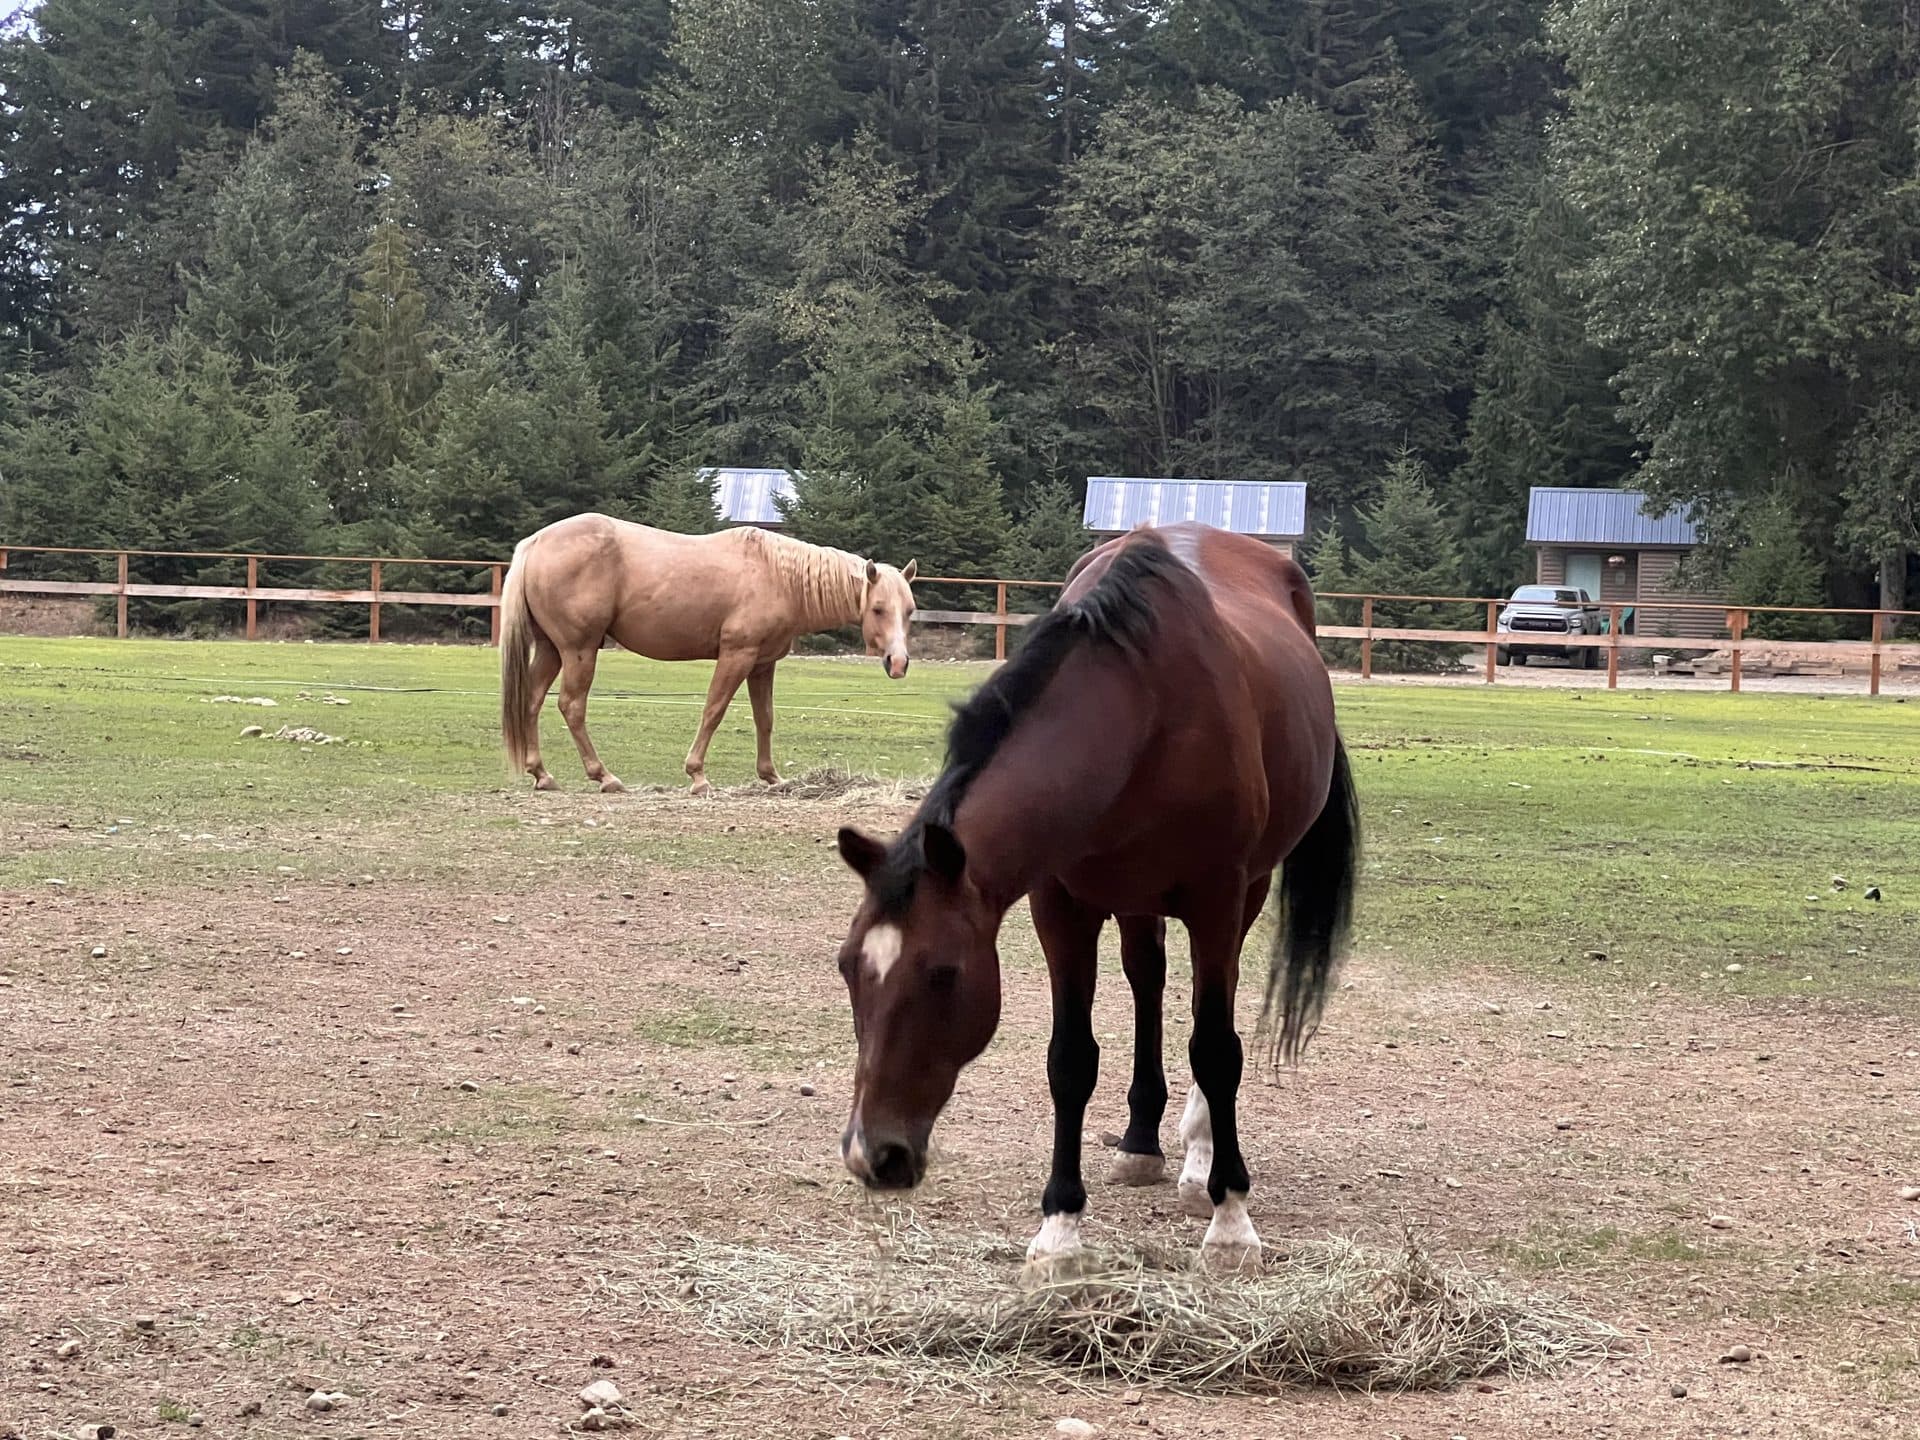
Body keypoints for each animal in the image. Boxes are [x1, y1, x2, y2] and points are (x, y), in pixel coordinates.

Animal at [499, 513, 918, 794]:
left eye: (910, 610)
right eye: (878, 609)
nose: (898, 663)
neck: (777, 577)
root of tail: (535, 543)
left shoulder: (762, 664)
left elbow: (765, 719)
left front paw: (771, 776)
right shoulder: (737, 655)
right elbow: (713, 711)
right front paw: (698, 775)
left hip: (553, 650)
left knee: (532, 701)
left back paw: (542, 774)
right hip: (579, 650)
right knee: (571, 706)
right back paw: (604, 776)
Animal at [830, 522, 1358, 1272]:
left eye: (943, 975)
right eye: (849, 969)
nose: (871, 1155)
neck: (1141, 710)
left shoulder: (1217, 899)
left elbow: (1216, 1048)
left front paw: (1231, 1221)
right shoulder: (1060, 907)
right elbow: (1070, 1059)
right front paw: (1059, 1230)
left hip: (1245, 891)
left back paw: (1200, 1155)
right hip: (1135, 899)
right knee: (1146, 977)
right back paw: (1141, 1142)